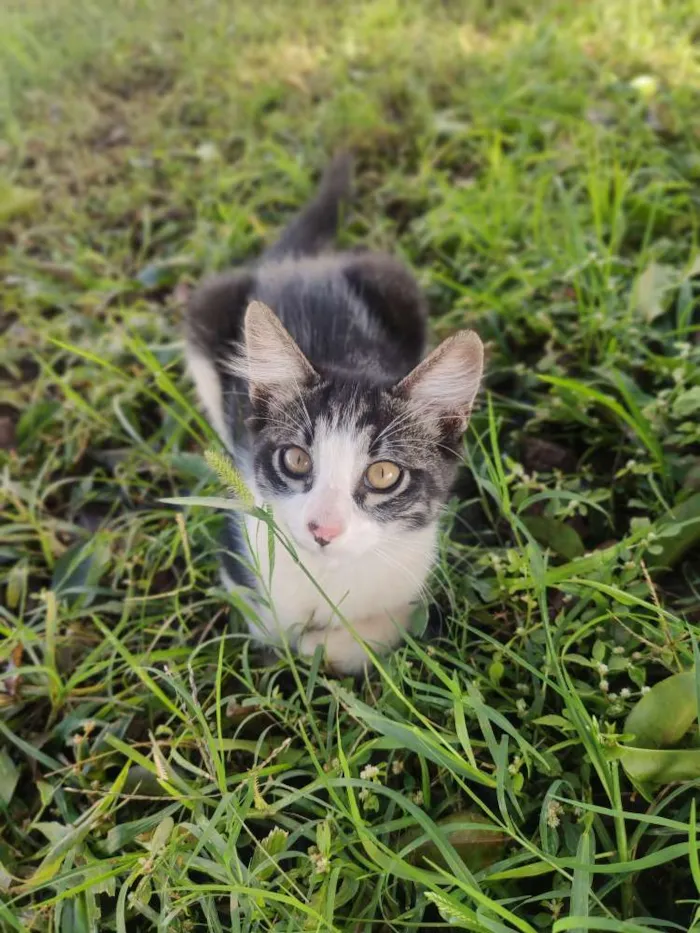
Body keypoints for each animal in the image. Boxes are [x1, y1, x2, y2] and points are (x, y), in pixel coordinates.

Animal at [183, 157, 484, 672]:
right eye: (296, 459)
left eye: (383, 474)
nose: (322, 529)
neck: (330, 574)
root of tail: (296, 266)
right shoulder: (239, 556)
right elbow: (272, 628)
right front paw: (299, 639)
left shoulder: (413, 572)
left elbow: (378, 631)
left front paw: (334, 640)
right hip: (207, 310)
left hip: (396, 282)